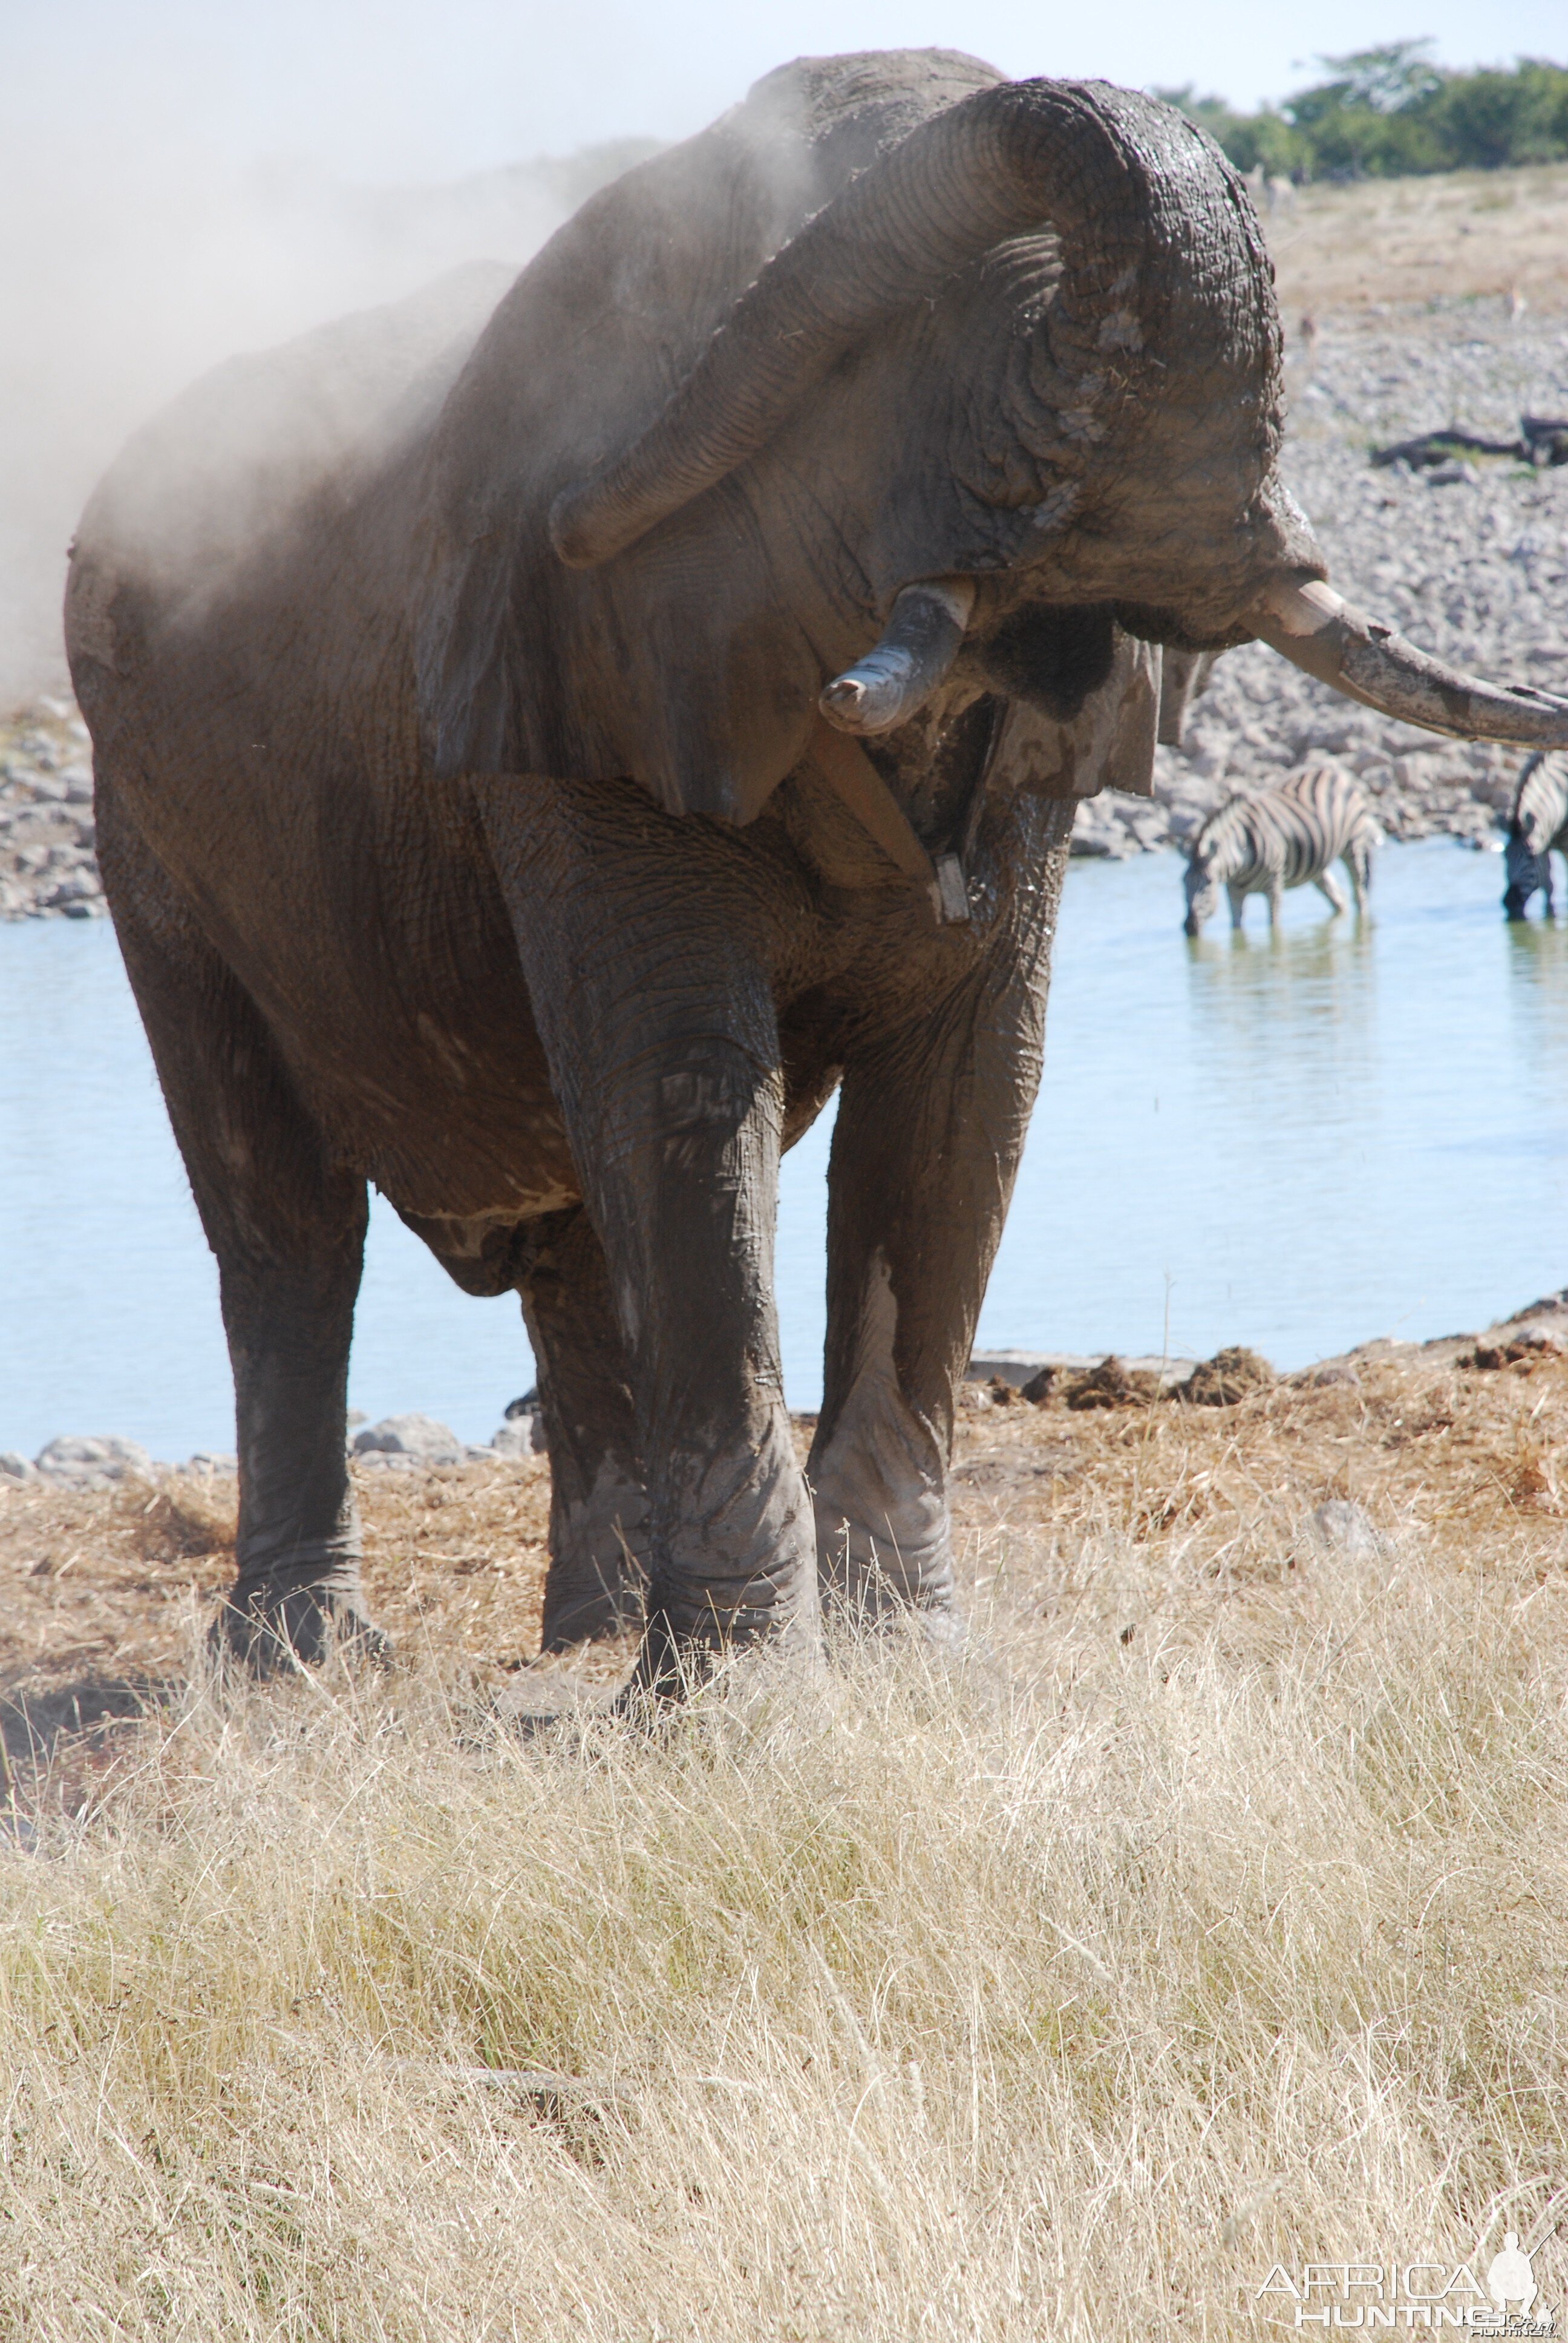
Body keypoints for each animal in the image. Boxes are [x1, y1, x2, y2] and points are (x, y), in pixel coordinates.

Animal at [1181, 754, 1378, 928]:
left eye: (1208, 883)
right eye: (1183, 883)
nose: (1189, 927)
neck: (1241, 860)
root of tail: (1335, 770)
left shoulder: (1275, 884)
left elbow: (1274, 928)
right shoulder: (1234, 891)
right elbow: (1237, 928)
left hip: (1354, 844)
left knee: (1360, 894)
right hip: (1318, 863)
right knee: (1338, 898)